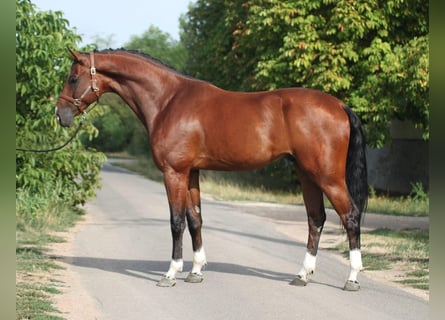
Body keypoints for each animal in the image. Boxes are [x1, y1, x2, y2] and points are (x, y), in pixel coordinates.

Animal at [55, 48, 368, 292]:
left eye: (73, 78)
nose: (60, 115)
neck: (169, 100)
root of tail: (339, 105)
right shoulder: (192, 172)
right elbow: (196, 220)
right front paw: (195, 271)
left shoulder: (174, 172)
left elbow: (176, 222)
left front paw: (171, 273)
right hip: (307, 175)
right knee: (316, 219)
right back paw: (302, 275)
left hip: (327, 176)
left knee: (350, 216)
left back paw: (352, 278)